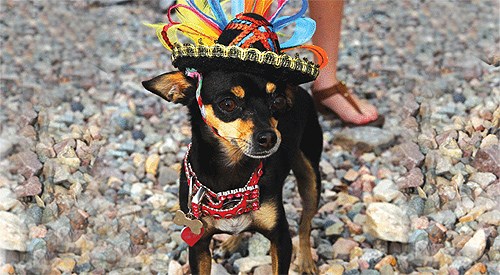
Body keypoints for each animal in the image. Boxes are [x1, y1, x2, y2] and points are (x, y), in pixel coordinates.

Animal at [144, 68, 324, 274]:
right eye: (228, 104)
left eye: (278, 101)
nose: (270, 138)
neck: (231, 174)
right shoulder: (199, 245)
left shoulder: (281, 239)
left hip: (311, 179)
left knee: (305, 224)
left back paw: (306, 260)